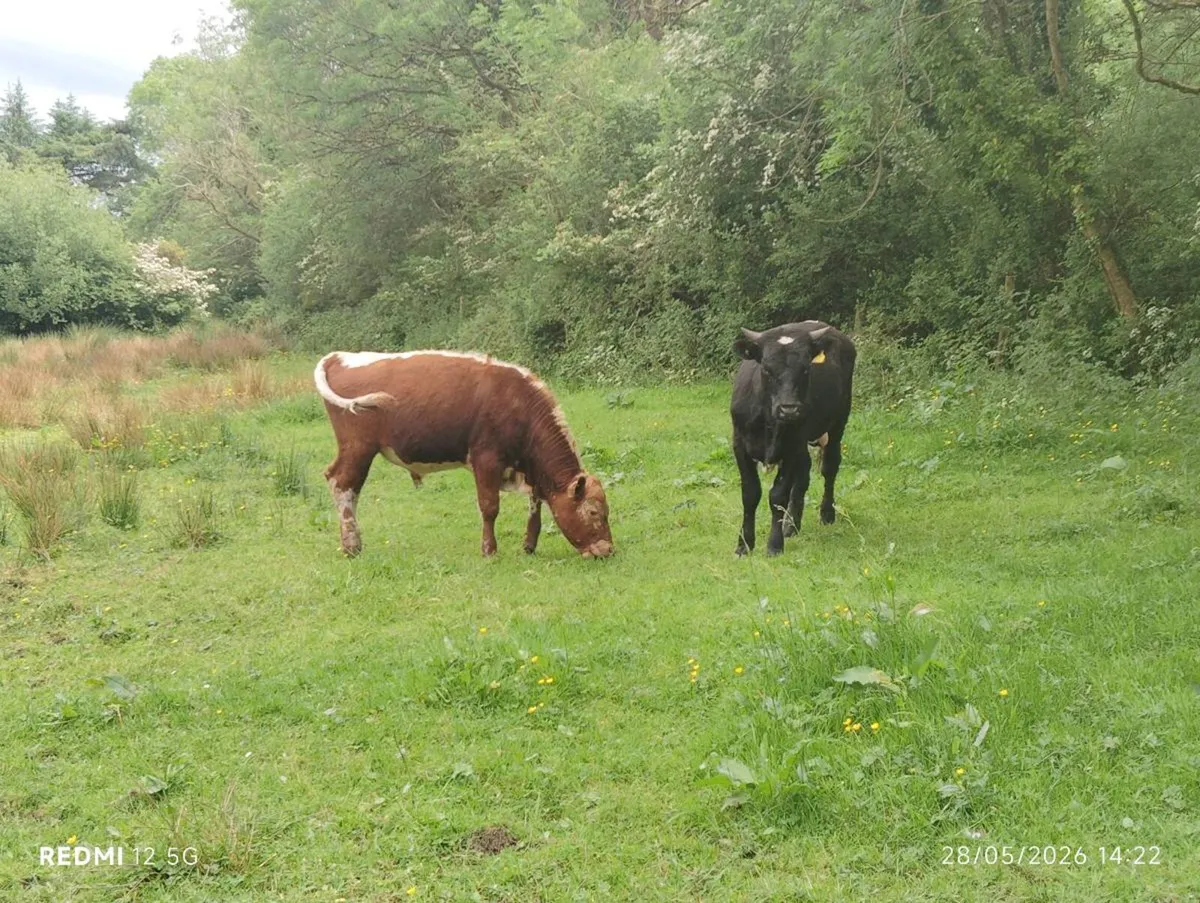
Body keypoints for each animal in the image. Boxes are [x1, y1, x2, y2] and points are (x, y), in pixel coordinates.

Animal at [314, 350, 614, 559]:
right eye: (593, 512)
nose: (608, 550)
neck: (518, 403)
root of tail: (341, 356)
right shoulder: (486, 460)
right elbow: (490, 507)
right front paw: (489, 550)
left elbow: (535, 503)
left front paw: (529, 545)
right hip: (358, 447)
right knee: (343, 484)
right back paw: (352, 545)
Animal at [730, 321, 856, 556]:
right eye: (766, 368)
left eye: (806, 368)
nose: (789, 409)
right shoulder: (739, 445)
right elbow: (750, 494)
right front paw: (744, 544)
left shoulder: (791, 447)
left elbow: (778, 496)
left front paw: (774, 544)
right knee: (803, 475)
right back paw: (792, 524)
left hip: (837, 424)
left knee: (830, 468)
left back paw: (826, 513)